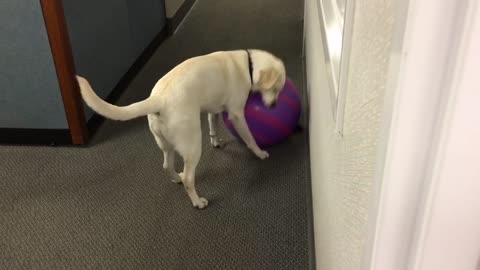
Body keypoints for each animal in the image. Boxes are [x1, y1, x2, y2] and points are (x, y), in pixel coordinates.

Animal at [75, 49, 284, 209]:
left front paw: (216, 141)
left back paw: (177, 177)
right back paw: (197, 201)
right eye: (275, 89)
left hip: (166, 144)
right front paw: (260, 153)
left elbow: (213, 126)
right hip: (193, 145)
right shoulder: (237, 115)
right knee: (189, 179)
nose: (274, 106)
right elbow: (250, 138)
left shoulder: (212, 110)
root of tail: (158, 99)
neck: (248, 65)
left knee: (167, 166)